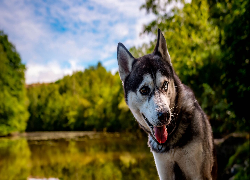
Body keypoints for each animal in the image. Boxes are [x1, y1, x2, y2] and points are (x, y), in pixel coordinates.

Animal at [117, 28, 217, 179]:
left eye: (165, 85)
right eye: (144, 90)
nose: (164, 115)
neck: (170, 140)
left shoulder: (198, 174)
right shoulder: (165, 171)